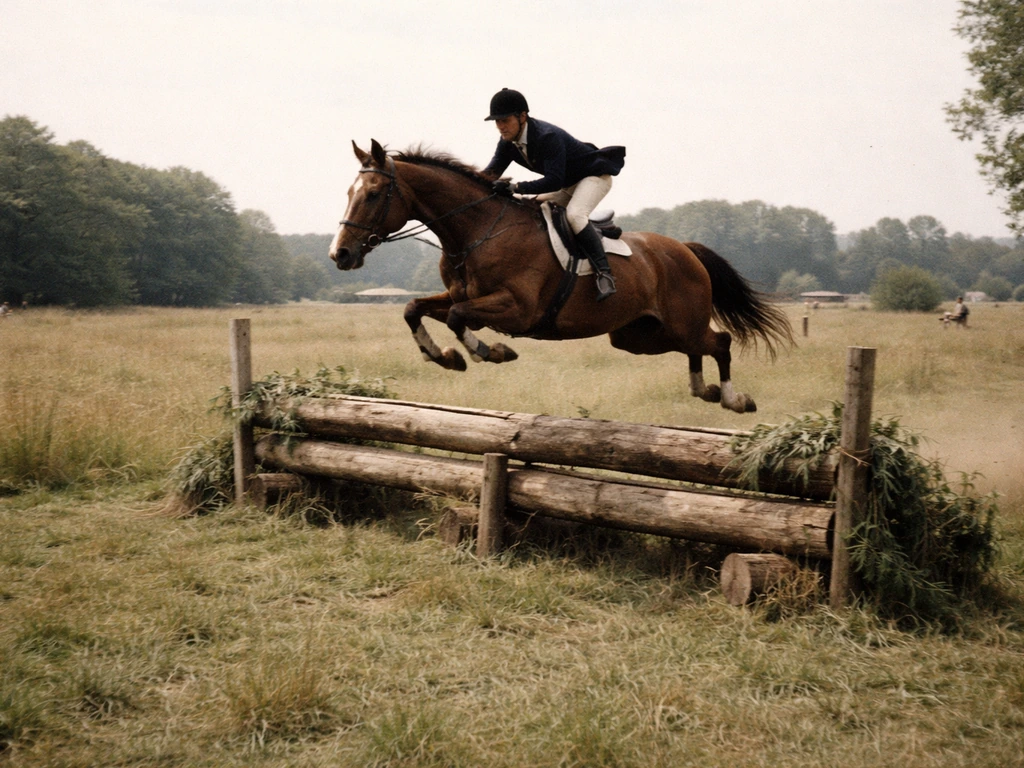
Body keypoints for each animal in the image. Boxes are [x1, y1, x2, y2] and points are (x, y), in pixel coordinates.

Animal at [329, 140, 793, 413]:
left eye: (373, 195)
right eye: (349, 193)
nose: (340, 254)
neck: (476, 230)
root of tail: (685, 249)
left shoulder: (517, 309)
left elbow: (461, 319)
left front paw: (491, 352)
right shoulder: (458, 295)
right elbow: (414, 309)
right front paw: (444, 356)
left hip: (677, 322)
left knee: (720, 342)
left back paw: (734, 398)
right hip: (638, 335)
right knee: (697, 348)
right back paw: (704, 389)